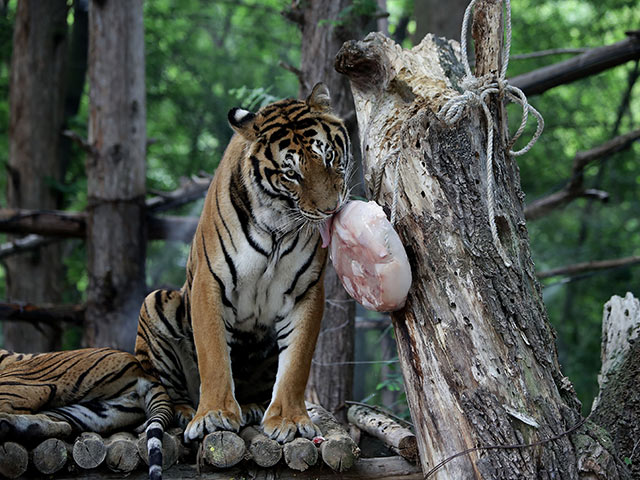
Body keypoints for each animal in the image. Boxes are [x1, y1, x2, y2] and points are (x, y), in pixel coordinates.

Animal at [136, 81, 352, 442]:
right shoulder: (210, 280)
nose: (330, 209)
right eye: (291, 173)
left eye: (329, 156)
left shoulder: (305, 290)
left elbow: (296, 363)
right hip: (158, 301)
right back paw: (185, 411)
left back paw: (251, 406)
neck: (279, 223)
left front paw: (289, 420)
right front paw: (213, 415)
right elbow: (213, 354)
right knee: (166, 390)